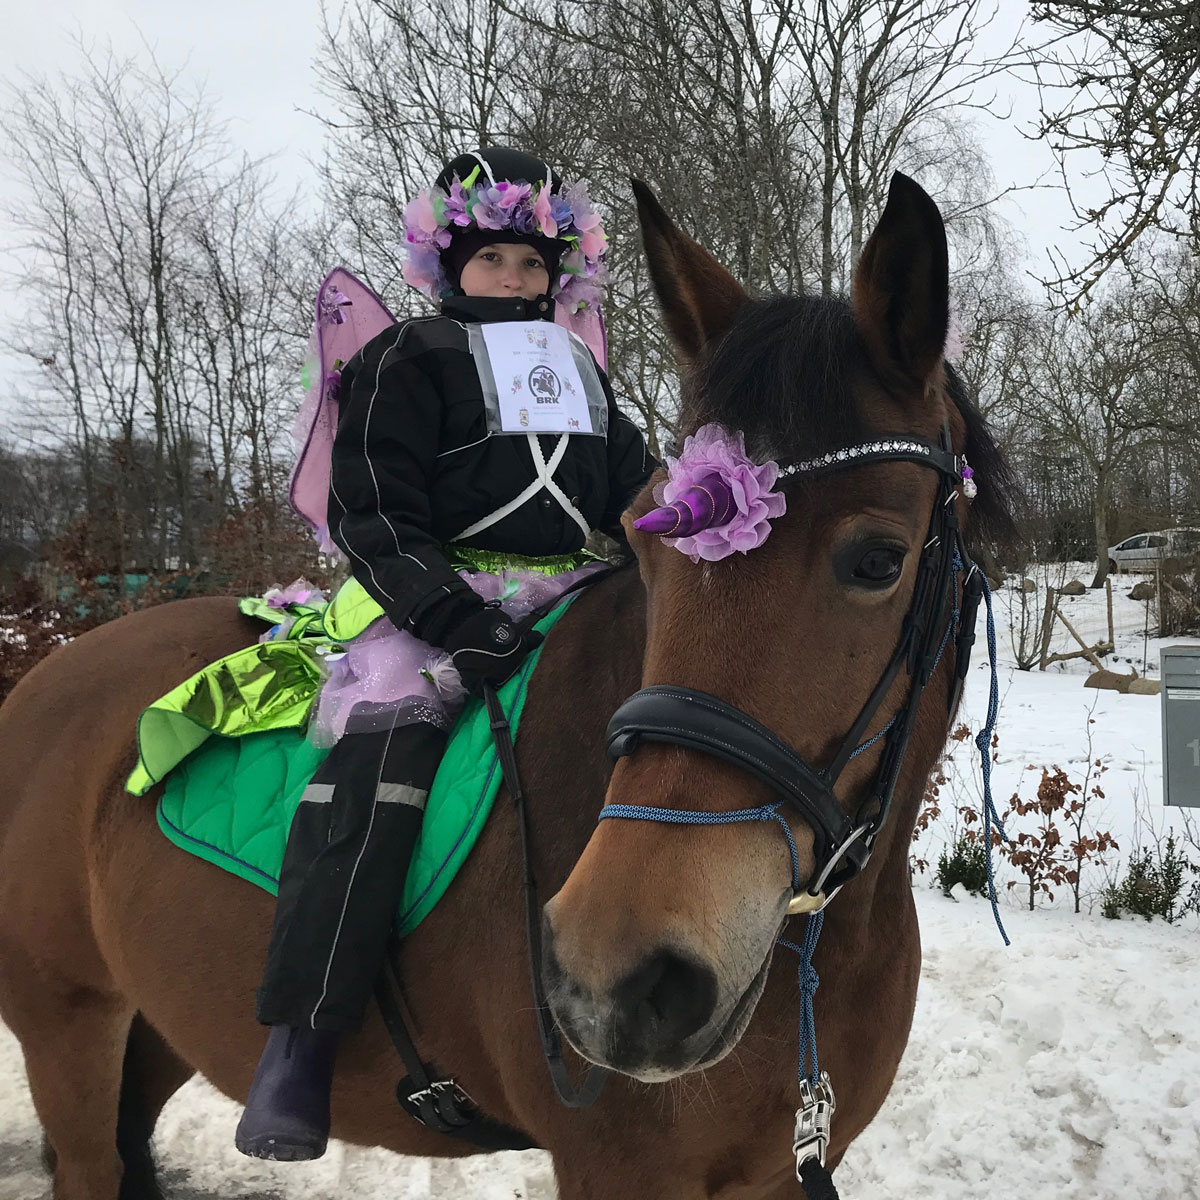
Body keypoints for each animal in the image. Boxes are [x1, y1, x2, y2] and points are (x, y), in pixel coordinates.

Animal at [0, 177, 1008, 1200]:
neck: (815, 952)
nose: (617, 981)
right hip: (70, 1028)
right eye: (647, 543)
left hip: (156, 1028)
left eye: (878, 559)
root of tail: (47, 680)